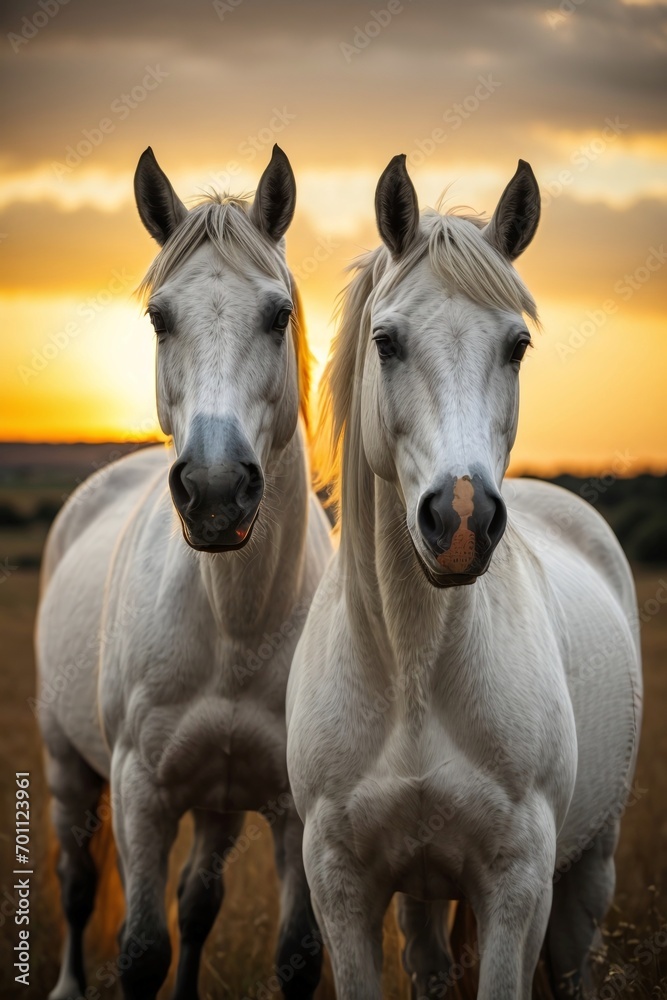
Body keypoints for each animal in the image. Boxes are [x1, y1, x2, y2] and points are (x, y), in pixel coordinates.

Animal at [36, 144, 332, 1000]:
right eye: (158, 317)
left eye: (277, 314)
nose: (214, 489)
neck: (236, 622)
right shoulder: (141, 794)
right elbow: (140, 950)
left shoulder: (294, 811)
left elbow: (294, 955)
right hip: (69, 767)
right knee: (75, 884)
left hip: (219, 803)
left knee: (199, 902)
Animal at [286, 155, 642, 999]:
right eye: (385, 342)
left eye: (516, 346)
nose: (460, 523)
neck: (414, 671)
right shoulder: (340, 886)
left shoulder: (517, 885)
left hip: (587, 870)